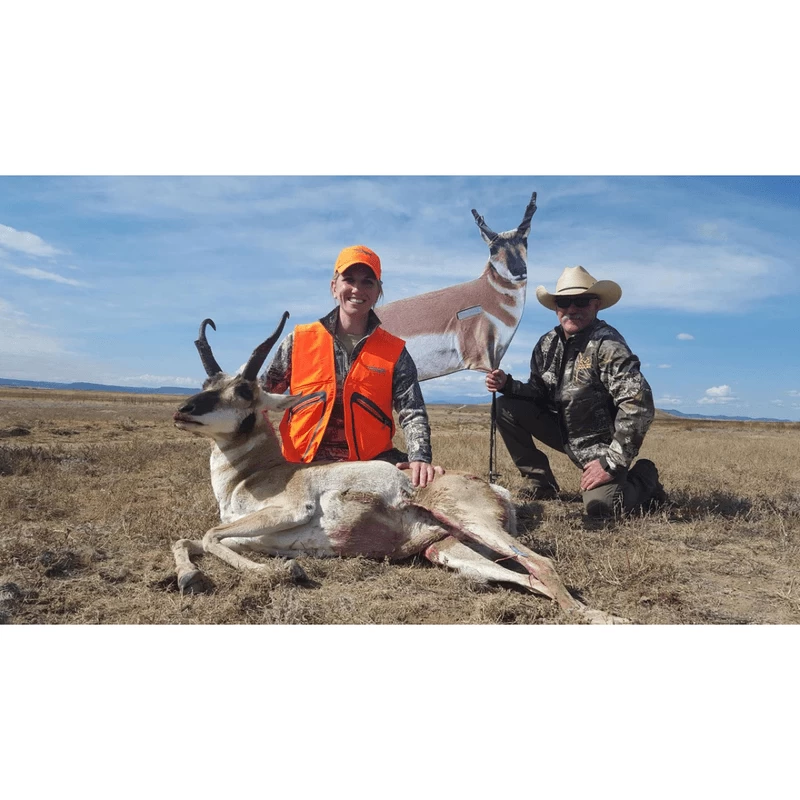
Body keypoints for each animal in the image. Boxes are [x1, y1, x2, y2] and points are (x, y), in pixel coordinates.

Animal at [170, 313, 628, 624]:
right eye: (207, 385)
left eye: (243, 390)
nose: (182, 411)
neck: (257, 475)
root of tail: (490, 488)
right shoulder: (250, 534)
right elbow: (191, 539)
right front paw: (191, 577)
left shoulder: (288, 510)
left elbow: (210, 535)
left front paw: (286, 572)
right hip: (450, 551)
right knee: (529, 577)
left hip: (473, 525)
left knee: (542, 564)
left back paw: (602, 617)